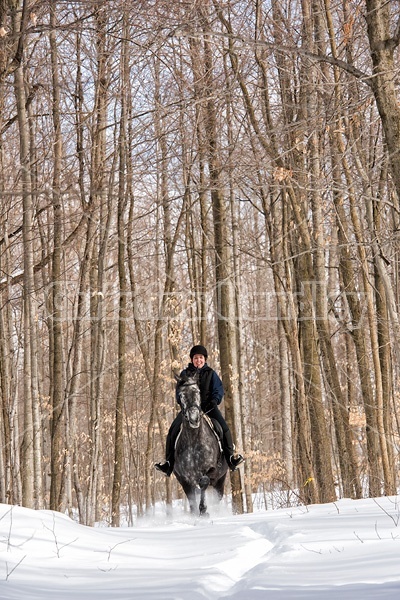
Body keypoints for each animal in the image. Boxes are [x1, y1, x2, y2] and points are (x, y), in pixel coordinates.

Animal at [173, 372, 227, 512]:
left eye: (198, 392)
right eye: (181, 395)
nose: (194, 419)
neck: (193, 440)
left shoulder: (211, 470)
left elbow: (204, 481)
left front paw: (203, 509)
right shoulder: (184, 478)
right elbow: (192, 497)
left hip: (220, 479)